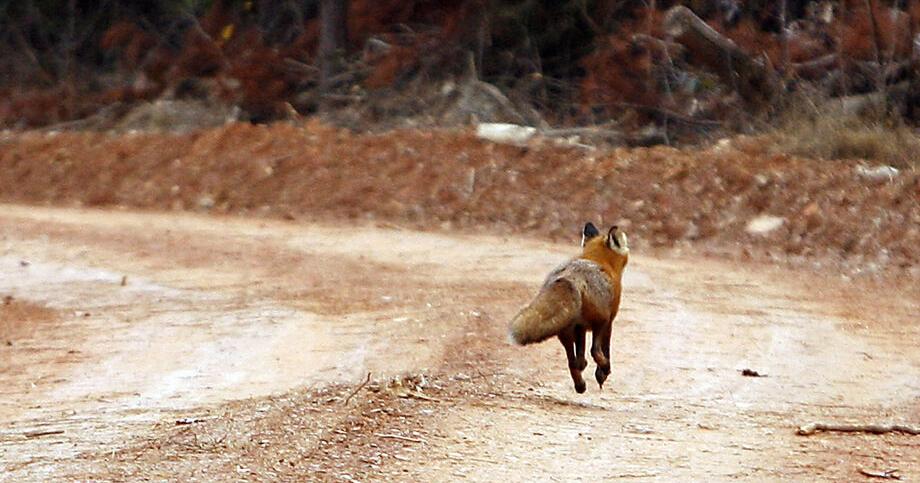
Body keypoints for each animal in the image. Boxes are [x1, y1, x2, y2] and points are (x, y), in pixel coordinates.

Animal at [508, 222, 629, 393]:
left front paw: (586, 368)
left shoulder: (580, 327)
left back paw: (580, 384)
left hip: (565, 330)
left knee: (573, 362)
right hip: (600, 322)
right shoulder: (609, 321)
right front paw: (602, 372)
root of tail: (569, 278)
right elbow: (605, 349)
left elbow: (580, 353)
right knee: (594, 351)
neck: (600, 261)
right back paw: (603, 370)